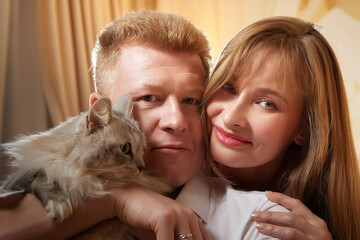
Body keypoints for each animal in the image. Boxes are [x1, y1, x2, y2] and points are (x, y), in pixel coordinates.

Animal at [0, 95, 172, 238]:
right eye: (125, 148)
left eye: (141, 149)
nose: (142, 167)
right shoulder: (16, 181)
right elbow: (43, 175)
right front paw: (58, 203)